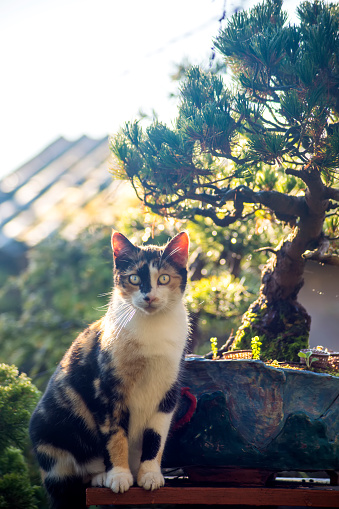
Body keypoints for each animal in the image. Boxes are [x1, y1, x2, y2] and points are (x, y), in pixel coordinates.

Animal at [29, 231, 190, 508]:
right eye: (134, 278)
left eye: (164, 278)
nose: (149, 297)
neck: (151, 332)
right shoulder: (107, 390)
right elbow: (115, 435)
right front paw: (119, 476)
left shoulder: (168, 390)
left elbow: (156, 435)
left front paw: (150, 475)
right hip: (48, 431)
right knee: (78, 471)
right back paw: (101, 476)